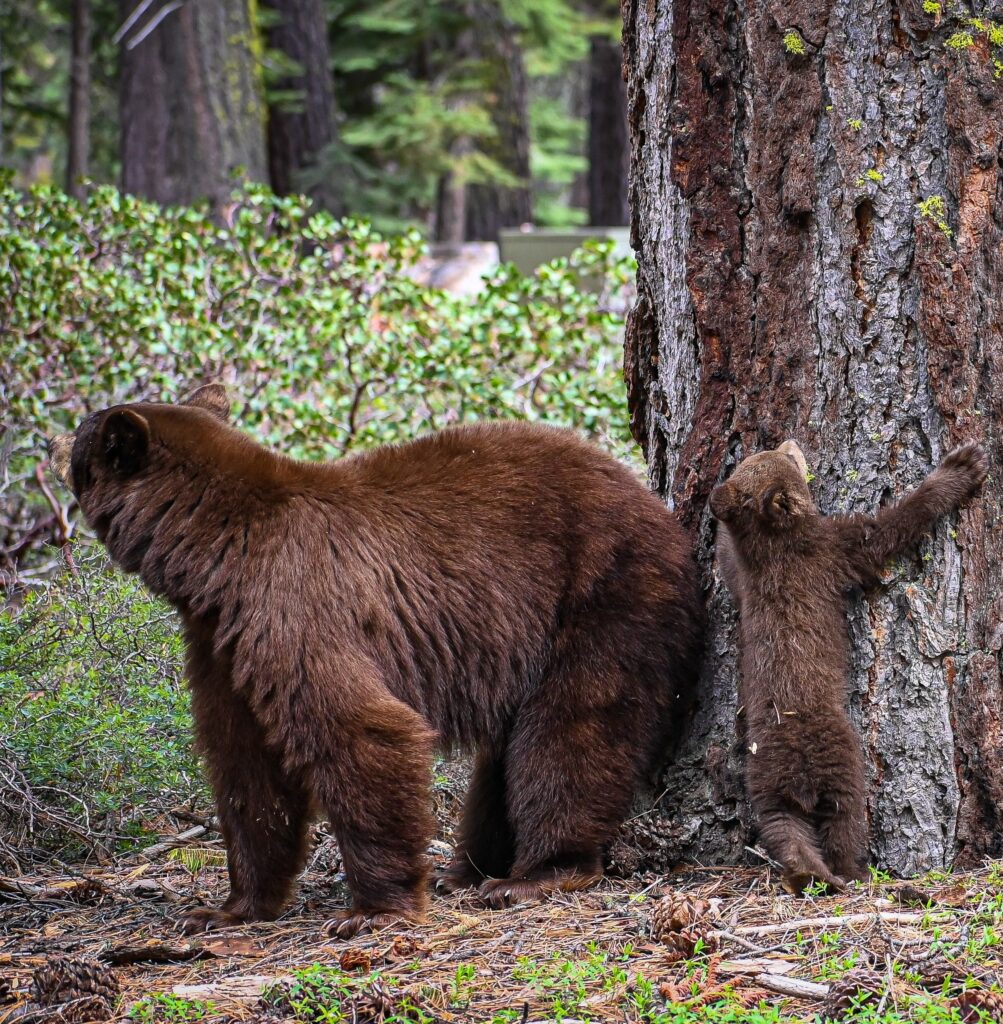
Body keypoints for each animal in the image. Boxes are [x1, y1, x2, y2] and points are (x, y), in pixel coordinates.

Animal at [48, 384, 704, 937]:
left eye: (82, 435)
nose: (50, 441)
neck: (218, 559)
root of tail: (658, 506)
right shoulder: (224, 641)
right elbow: (247, 767)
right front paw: (228, 907)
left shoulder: (296, 604)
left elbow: (360, 729)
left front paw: (372, 909)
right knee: (503, 758)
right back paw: (465, 870)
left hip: (608, 593)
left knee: (571, 731)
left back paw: (538, 872)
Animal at [709, 439, 988, 892]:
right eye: (788, 460)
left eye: (775, 455)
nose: (790, 441)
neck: (775, 549)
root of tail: (797, 776)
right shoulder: (830, 551)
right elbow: (883, 531)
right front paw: (962, 467)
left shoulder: (747, 580)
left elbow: (728, 564)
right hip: (841, 763)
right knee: (844, 818)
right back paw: (853, 872)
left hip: (765, 783)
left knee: (783, 828)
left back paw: (805, 873)